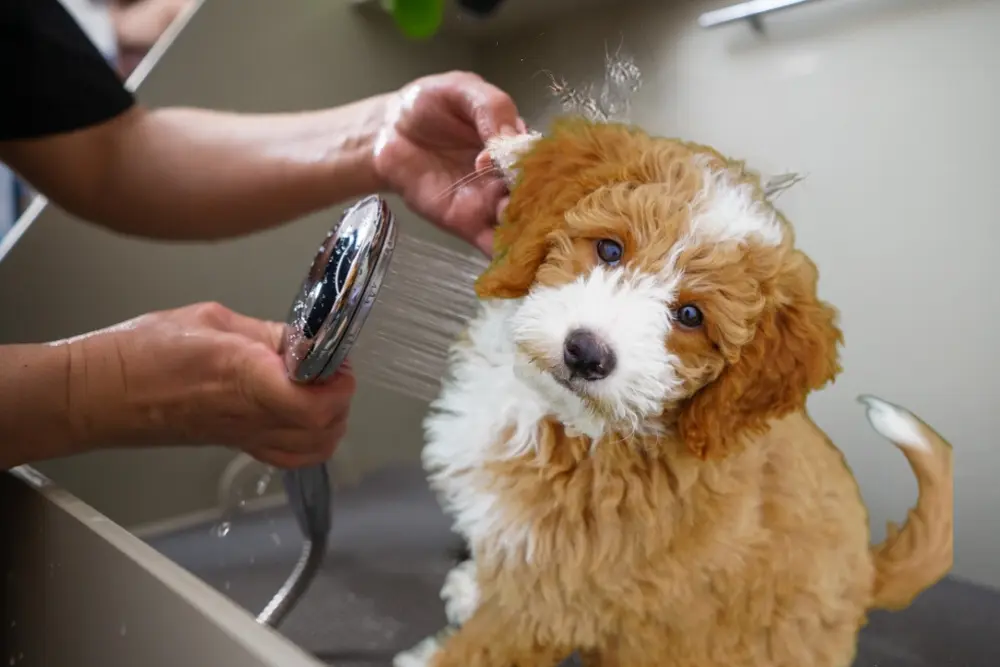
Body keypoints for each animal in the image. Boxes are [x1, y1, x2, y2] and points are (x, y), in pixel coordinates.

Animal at [390, 118, 952, 667]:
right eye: (610, 249)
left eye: (690, 315)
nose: (586, 354)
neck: (572, 425)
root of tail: (868, 572)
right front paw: (475, 587)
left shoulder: (561, 595)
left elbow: (483, 646)